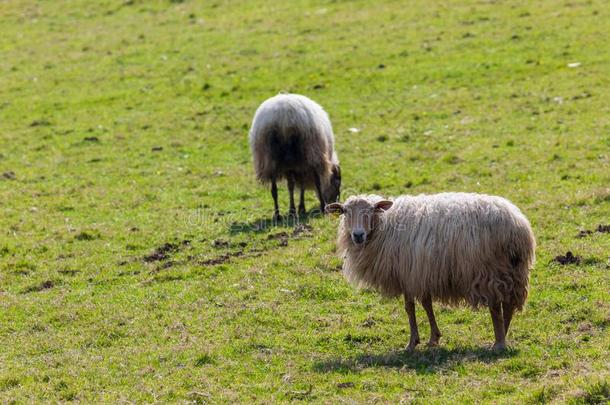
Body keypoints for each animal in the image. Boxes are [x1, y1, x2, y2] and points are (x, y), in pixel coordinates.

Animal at [328, 193, 532, 350]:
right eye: (345, 212)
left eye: (371, 210)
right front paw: (434, 338)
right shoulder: (420, 272)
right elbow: (427, 304)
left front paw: (411, 344)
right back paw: (504, 333)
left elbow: (409, 308)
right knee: (509, 304)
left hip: (489, 270)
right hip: (513, 271)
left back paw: (498, 343)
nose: (358, 235)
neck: (383, 227)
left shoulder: (407, 274)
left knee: (496, 306)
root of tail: (517, 226)